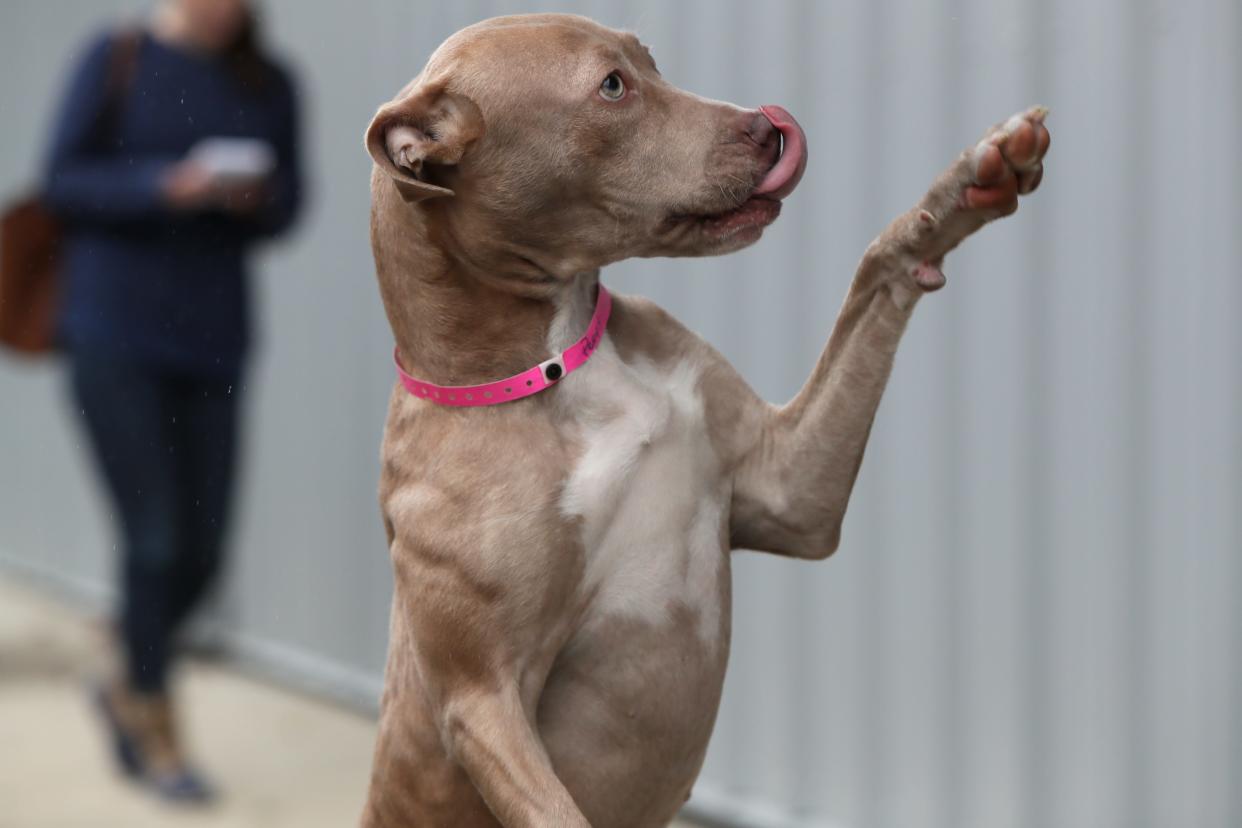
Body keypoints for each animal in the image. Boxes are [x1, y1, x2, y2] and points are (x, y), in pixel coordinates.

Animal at [360, 14, 1048, 828]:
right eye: (612, 86)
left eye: (650, 60)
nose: (768, 125)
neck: (560, 365)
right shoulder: (482, 701)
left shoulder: (792, 491)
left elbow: (875, 272)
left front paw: (968, 183)